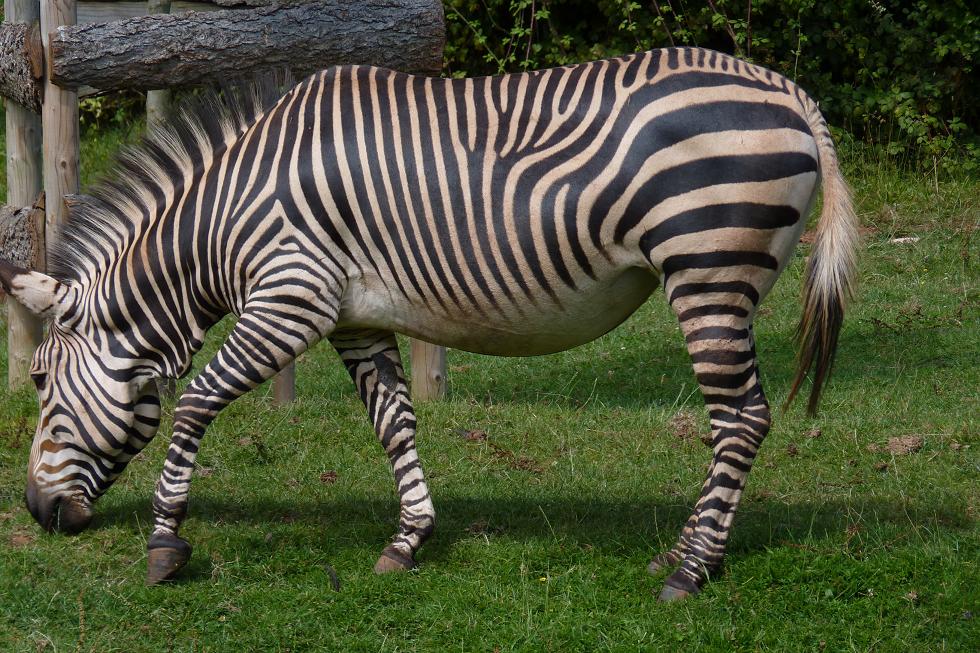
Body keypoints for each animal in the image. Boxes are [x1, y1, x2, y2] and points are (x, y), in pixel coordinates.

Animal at [0, 47, 856, 601]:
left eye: (40, 382)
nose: (38, 515)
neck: (222, 220)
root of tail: (790, 91)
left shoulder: (289, 299)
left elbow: (195, 402)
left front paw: (166, 540)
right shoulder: (354, 316)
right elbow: (395, 423)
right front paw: (409, 538)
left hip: (709, 269)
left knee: (742, 418)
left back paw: (690, 569)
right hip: (718, 273)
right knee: (741, 418)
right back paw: (683, 555)